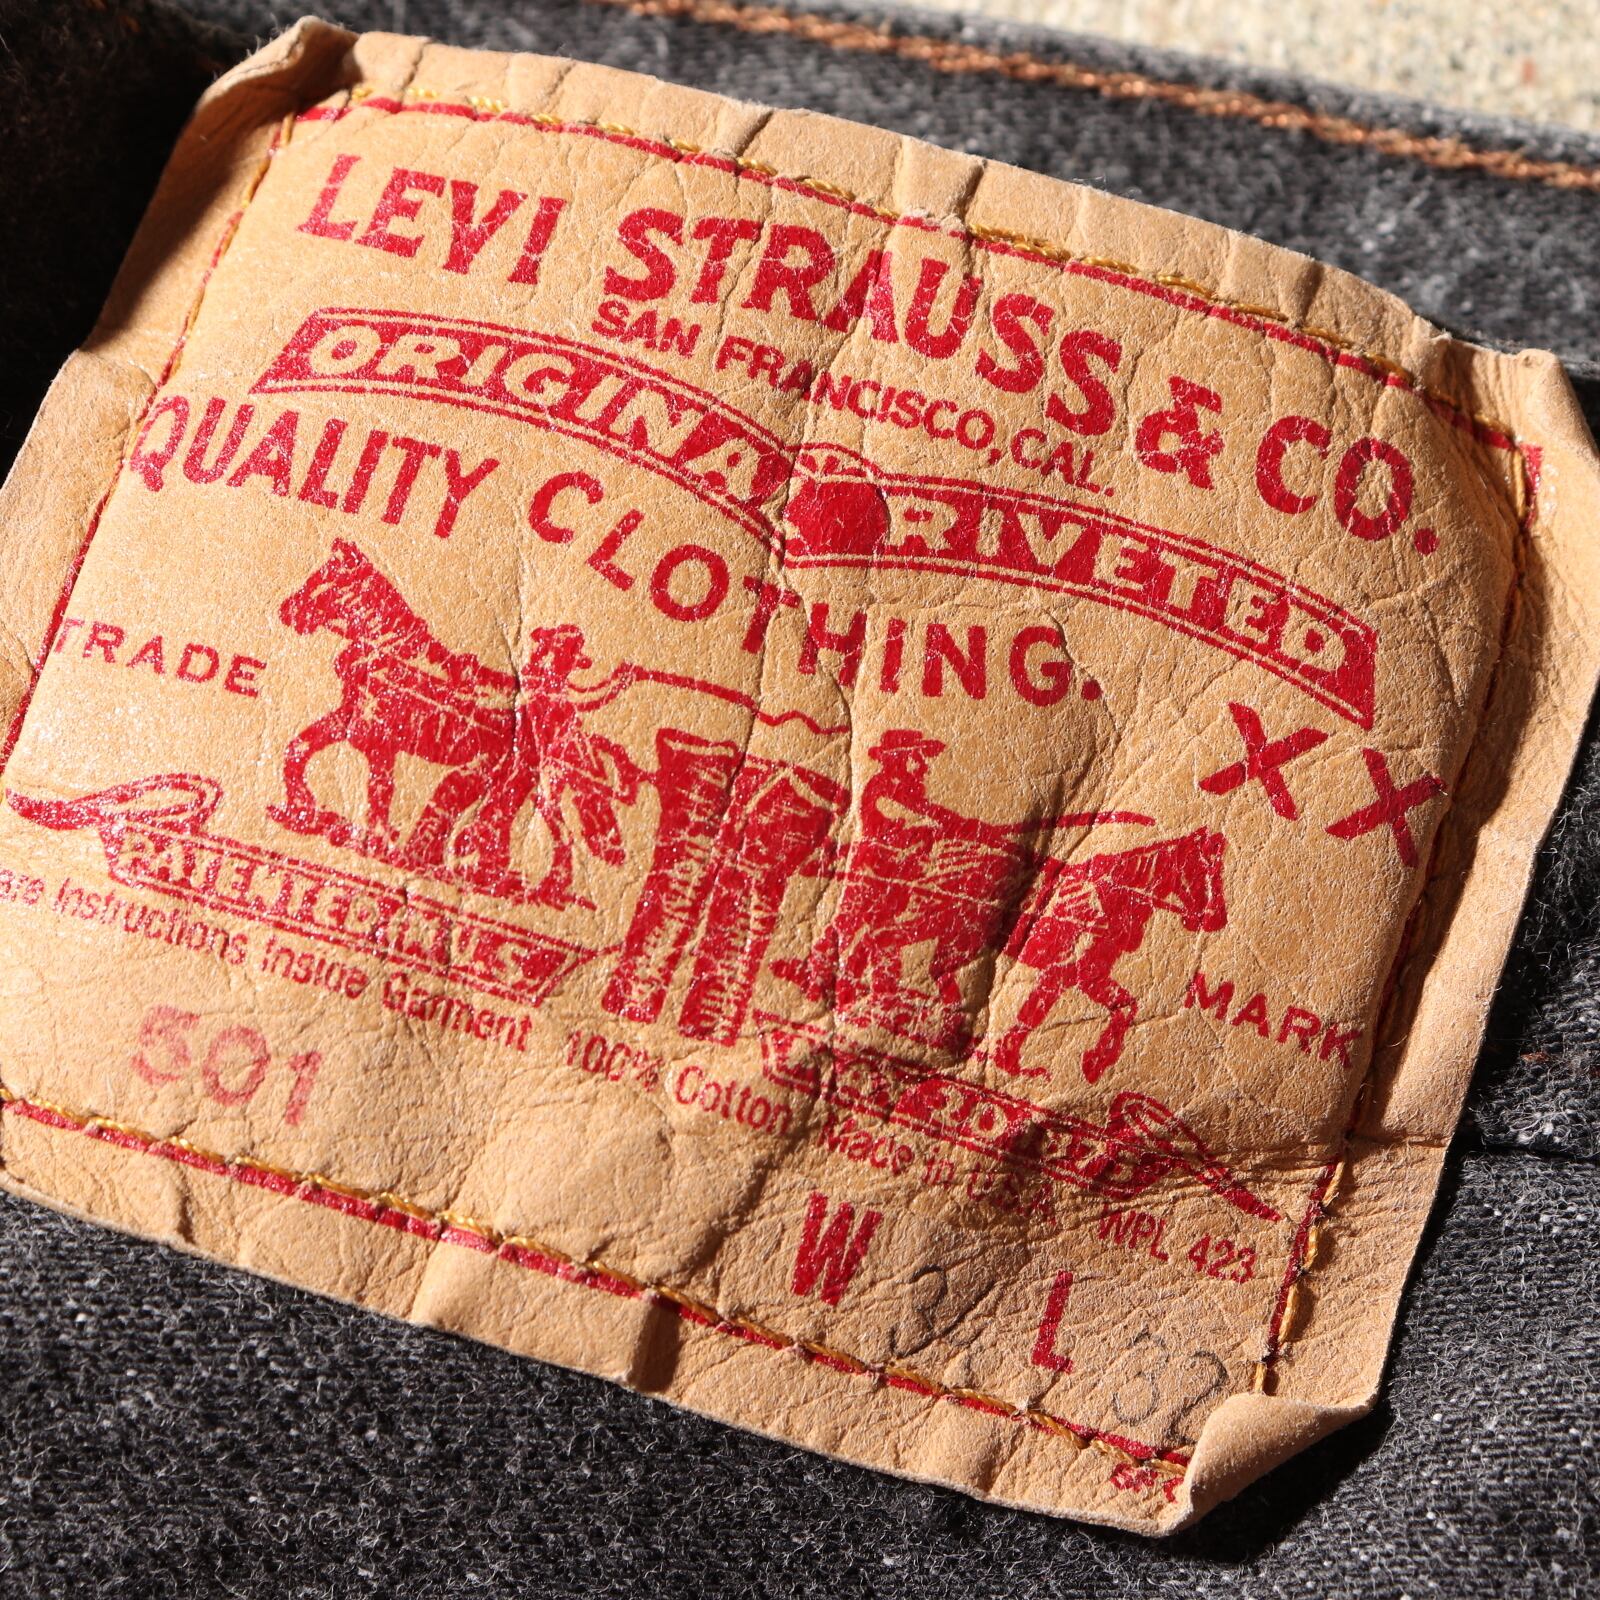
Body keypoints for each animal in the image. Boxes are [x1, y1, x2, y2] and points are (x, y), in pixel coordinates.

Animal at [991, 827, 1227, 1082]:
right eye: (1203, 871)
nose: (1217, 920)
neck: (1115, 896)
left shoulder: (1071, 975)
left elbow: (1125, 1006)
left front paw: (1093, 1062)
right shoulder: (1073, 973)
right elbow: (1032, 1014)